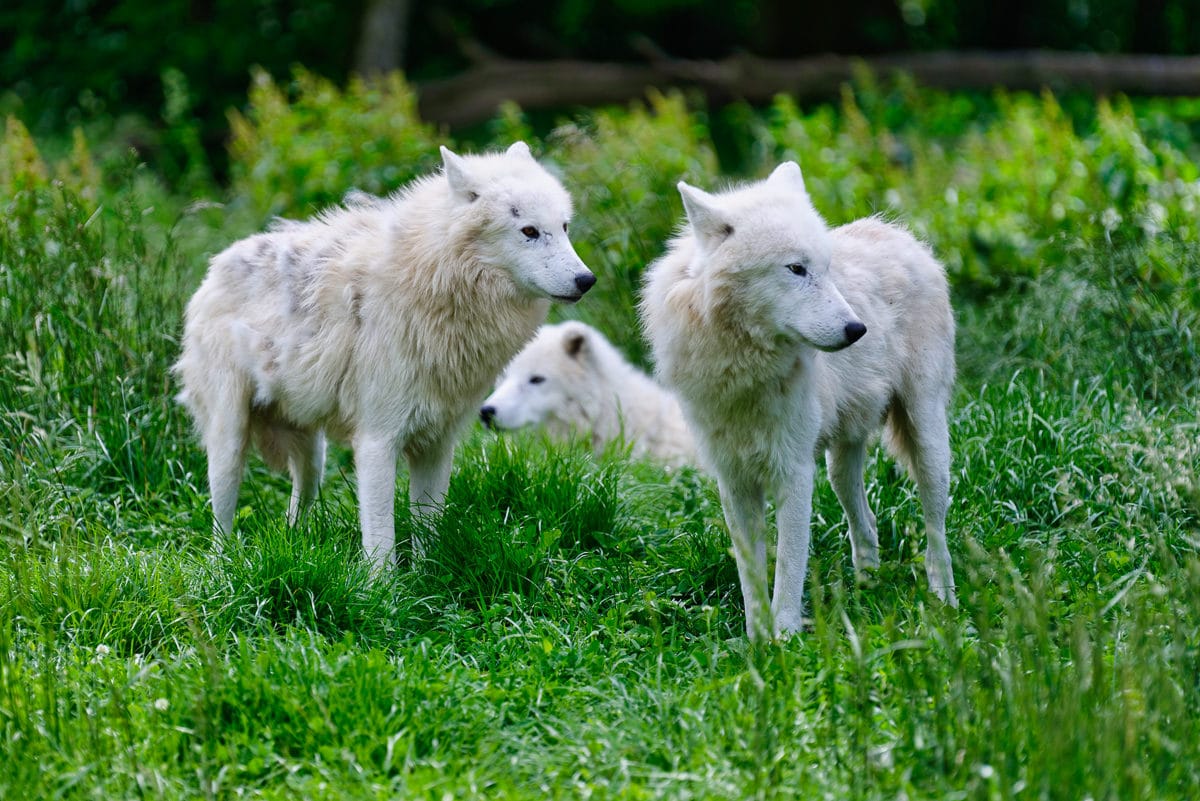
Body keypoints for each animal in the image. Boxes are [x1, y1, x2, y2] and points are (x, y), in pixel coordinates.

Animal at [174, 140, 595, 565]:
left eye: (564, 227)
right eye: (530, 231)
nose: (587, 280)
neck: (432, 282)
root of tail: (215, 266)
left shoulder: (437, 444)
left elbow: (429, 528)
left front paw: (429, 576)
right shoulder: (377, 442)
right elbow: (381, 543)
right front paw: (384, 584)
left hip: (313, 460)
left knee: (295, 513)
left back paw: (294, 551)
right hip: (229, 445)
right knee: (220, 524)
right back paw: (224, 567)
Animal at [643, 160, 960, 637]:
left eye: (826, 269)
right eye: (796, 269)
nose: (857, 330)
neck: (742, 366)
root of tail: (902, 235)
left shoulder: (792, 472)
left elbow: (789, 568)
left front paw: (786, 638)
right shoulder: (733, 481)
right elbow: (751, 576)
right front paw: (757, 640)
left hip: (926, 440)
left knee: (936, 527)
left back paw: (945, 599)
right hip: (839, 464)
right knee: (866, 521)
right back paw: (868, 587)